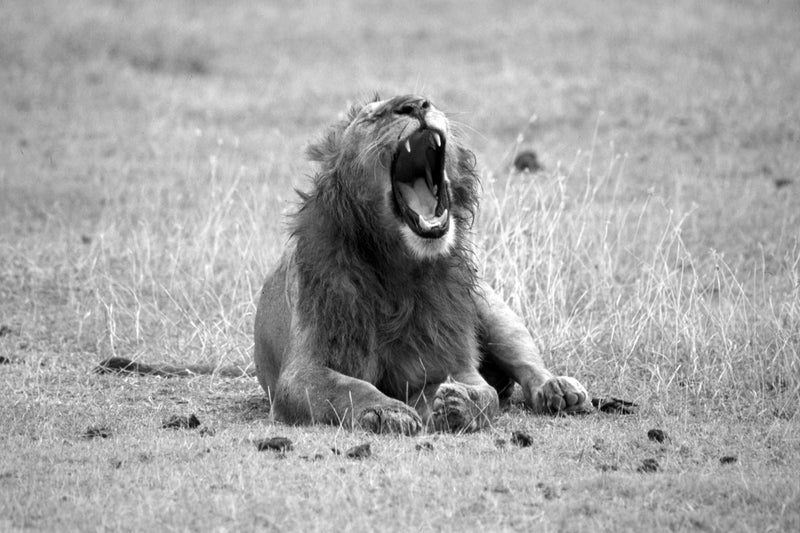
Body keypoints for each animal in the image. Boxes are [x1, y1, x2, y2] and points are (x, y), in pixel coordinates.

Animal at [253, 93, 592, 434]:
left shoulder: (449, 356)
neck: (399, 266)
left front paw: (460, 402)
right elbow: (348, 387)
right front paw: (387, 411)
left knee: (527, 362)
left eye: (427, 102)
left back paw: (558, 389)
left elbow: (487, 395)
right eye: (372, 117)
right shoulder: (300, 373)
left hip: (491, 310)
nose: (415, 104)